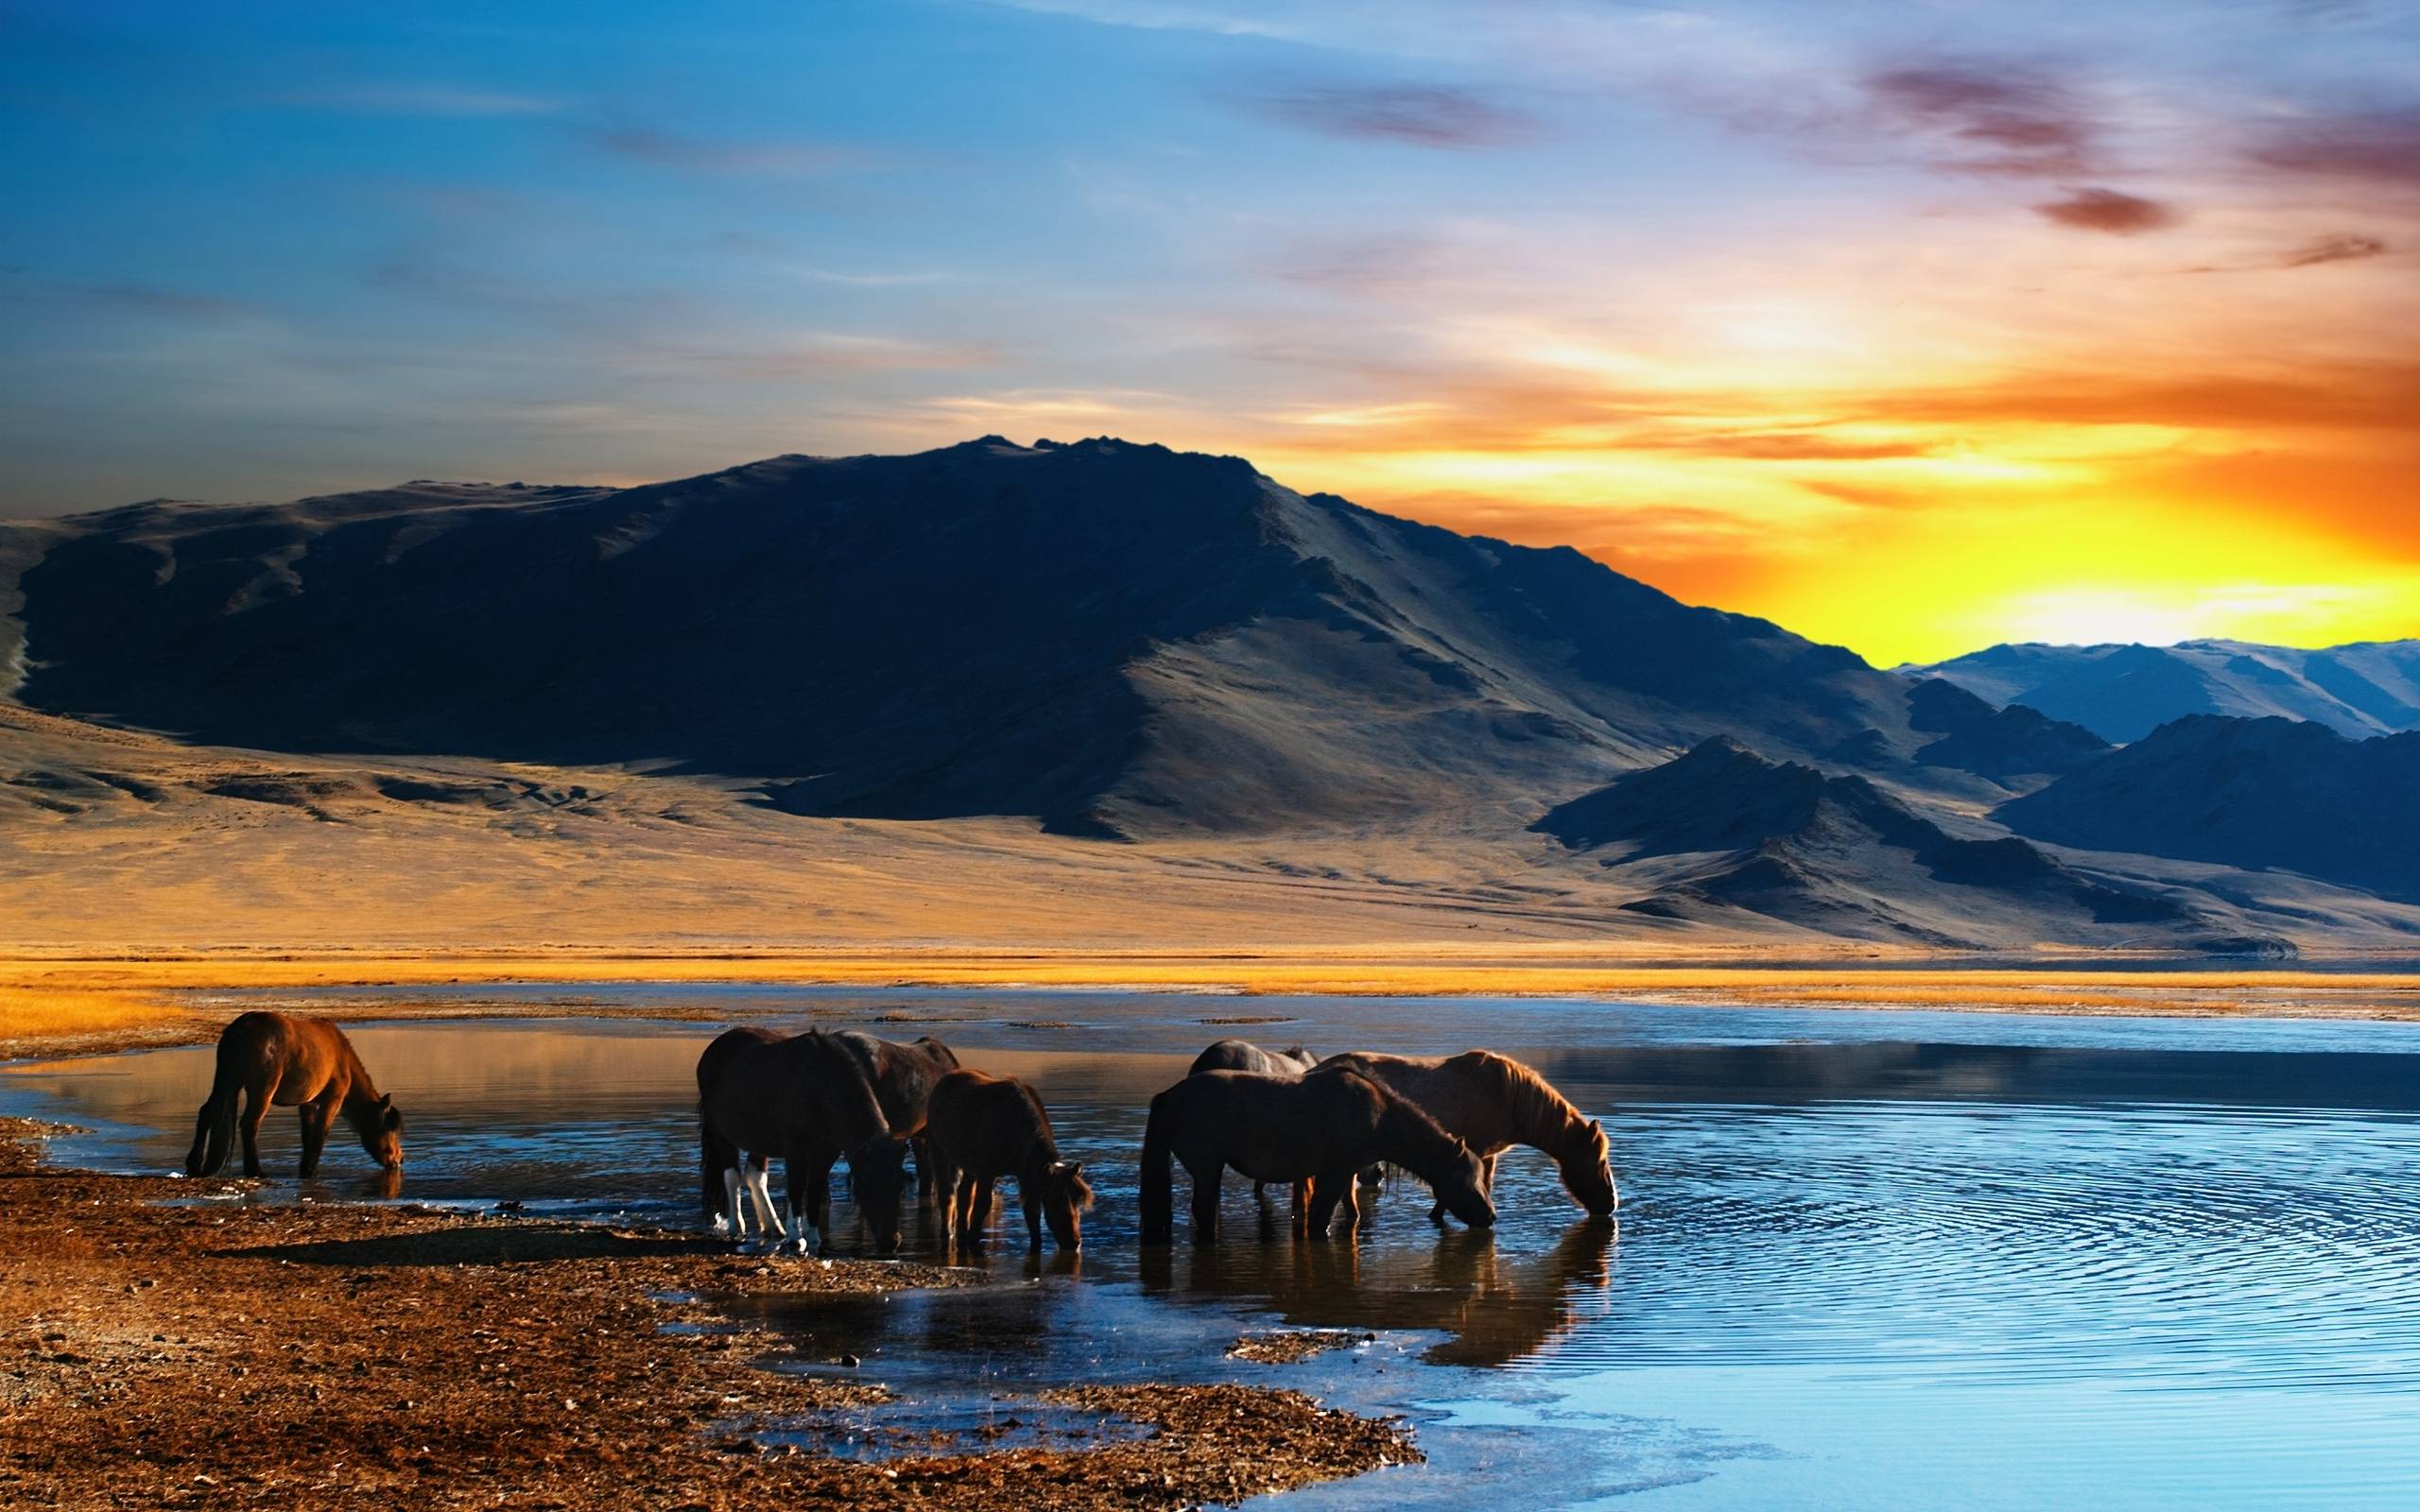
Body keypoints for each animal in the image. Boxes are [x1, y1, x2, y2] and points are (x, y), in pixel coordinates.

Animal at [184, 1012, 402, 1179]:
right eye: (390, 1129)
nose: (400, 1160)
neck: (343, 1058)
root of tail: (237, 1030)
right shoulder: (332, 1100)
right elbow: (321, 1132)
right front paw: (310, 1170)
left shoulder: (308, 1103)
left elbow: (307, 1135)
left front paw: (305, 1167)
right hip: (261, 1089)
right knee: (249, 1123)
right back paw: (255, 1170)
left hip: (226, 1082)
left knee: (207, 1113)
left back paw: (194, 1165)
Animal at [696, 1027, 909, 1256]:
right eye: (866, 1184)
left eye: (899, 1184)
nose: (890, 1242)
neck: (820, 1087)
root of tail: (714, 1050)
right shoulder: (795, 1150)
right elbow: (797, 1187)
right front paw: (795, 1237)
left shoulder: (826, 1153)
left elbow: (814, 1189)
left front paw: (813, 1236)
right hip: (721, 1134)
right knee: (732, 1176)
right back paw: (737, 1226)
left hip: (758, 1139)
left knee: (756, 1175)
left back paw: (774, 1227)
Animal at [924, 1068, 1093, 1251]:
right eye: (1055, 1200)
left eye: (1078, 1200)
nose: (1074, 1242)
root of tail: (944, 1079)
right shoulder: (986, 1172)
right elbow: (982, 1206)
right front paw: (973, 1240)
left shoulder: (1028, 1175)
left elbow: (1032, 1213)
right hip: (939, 1152)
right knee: (947, 1194)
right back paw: (947, 1232)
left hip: (968, 1165)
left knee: (964, 1196)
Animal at [1140, 1068, 1493, 1243]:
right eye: (1466, 1178)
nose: (1490, 1216)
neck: (1378, 1117)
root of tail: (1168, 1096)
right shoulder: (1335, 1172)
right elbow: (1321, 1216)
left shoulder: (1345, 1172)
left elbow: (1346, 1210)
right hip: (1207, 1167)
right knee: (1203, 1209)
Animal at [1312, 1051, 1616, 1220]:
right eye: (1600, 1162)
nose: (1611, 1205)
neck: (1508, 1096)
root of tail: (1314, 1071)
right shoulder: (1474, 1152)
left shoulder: (1487, 1155)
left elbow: (1484, 1186)